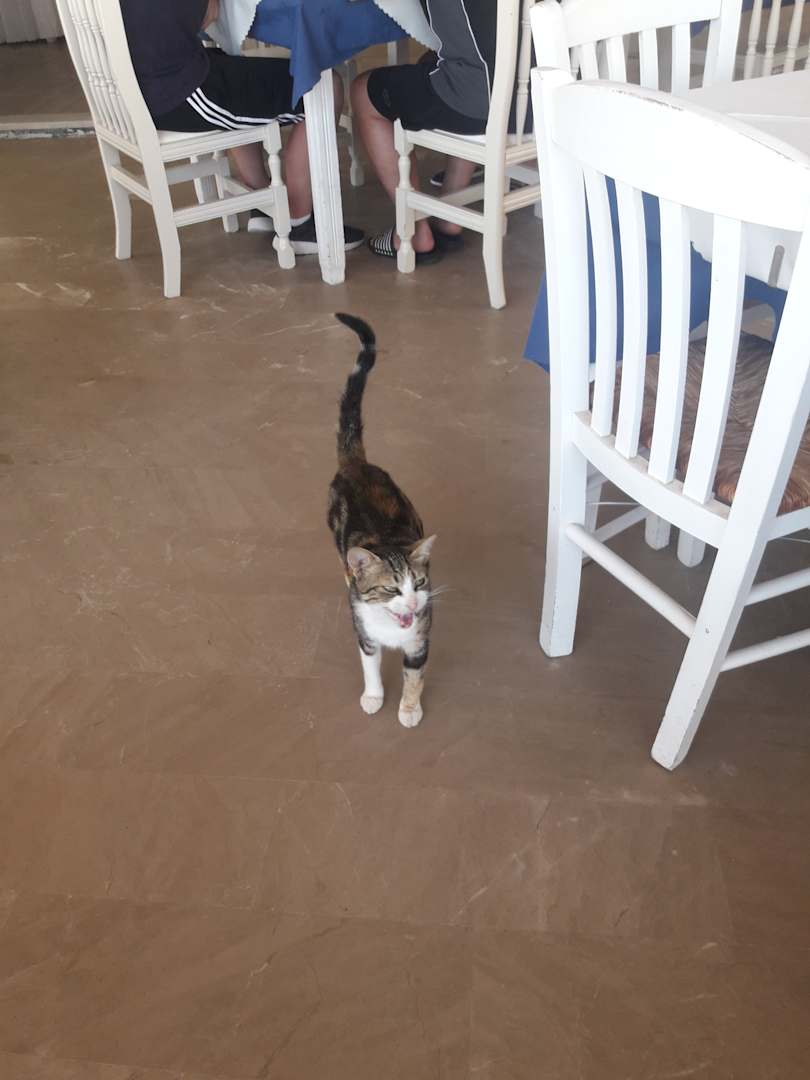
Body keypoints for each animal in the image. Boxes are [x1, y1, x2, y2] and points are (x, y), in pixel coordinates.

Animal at [327, 313, 436, 729]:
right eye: (391, 589)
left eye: (419, 583)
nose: (412, 603)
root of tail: (356, 465)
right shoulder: (365, 634)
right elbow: (370, 667)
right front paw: (373, 697)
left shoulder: (420, 639)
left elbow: (414, 677)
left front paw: (409, 710)